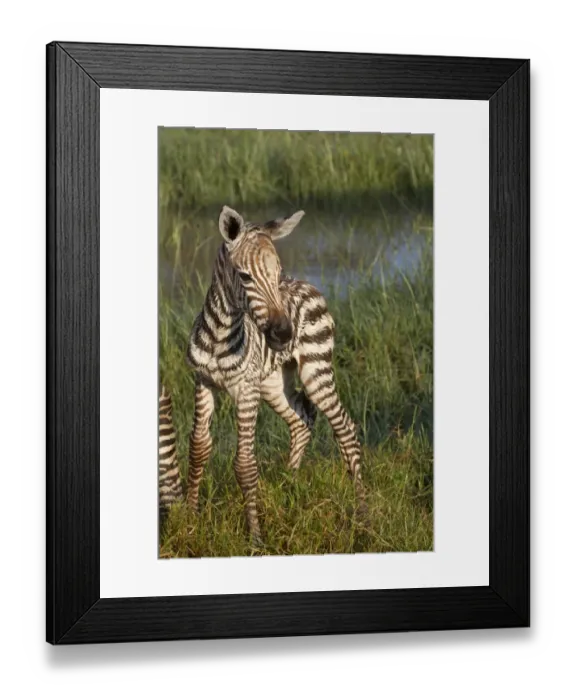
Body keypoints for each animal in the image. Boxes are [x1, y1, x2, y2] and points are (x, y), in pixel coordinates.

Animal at [186, 205, 366, 544]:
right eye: (244, 276)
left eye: (277, 272)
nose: (284, 334)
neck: (219, 336)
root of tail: (308, 284)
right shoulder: (203, 383)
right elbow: (198, 448)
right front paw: (190, 520)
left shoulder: (246, 390)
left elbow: (245, 464)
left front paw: (255, 537)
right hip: (273, 384)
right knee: (303, 419)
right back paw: (289, 483)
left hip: (316, 370)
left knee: (345, 427)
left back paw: (363, 512)